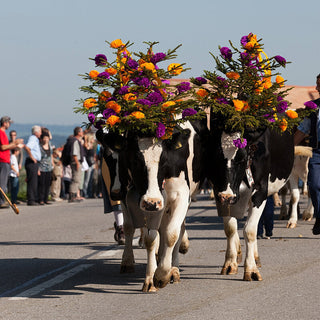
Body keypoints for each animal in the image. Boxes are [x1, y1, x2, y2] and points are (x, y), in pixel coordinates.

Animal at [96, 119, 209, 292]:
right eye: (135, 160)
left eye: (163, 160)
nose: (115, 193)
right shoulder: (140, 200)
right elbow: (148, 237)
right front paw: (150, 278)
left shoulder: (181, 195)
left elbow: (172, 233)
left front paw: (163, 274)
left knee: (178, 228)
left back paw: (174, 267)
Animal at [206, 114, 294, 282]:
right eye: (216, 157)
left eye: (242, 158)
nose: (227, 195)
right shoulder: (220, 193)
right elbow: (230, 228)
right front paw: (230, 263)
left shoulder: (260, 192)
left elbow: (250, 231)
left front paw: (251, 269)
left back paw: (255, 257)